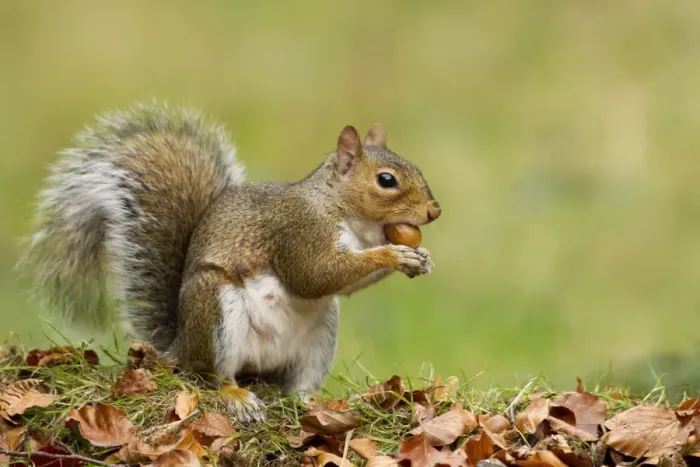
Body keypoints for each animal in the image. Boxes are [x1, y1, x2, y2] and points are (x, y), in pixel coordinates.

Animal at [22, 101, 441, 422]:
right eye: (386, 180)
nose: (434, 211)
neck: (343, 213)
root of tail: (181, 346)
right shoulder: (298, 233)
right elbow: (314, 276)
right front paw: (394, 254)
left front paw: (419, 257)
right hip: (215, 311)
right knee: (210, 375)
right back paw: (235, 396)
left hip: (319, 338)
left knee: (295, 385)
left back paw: (309, 401)